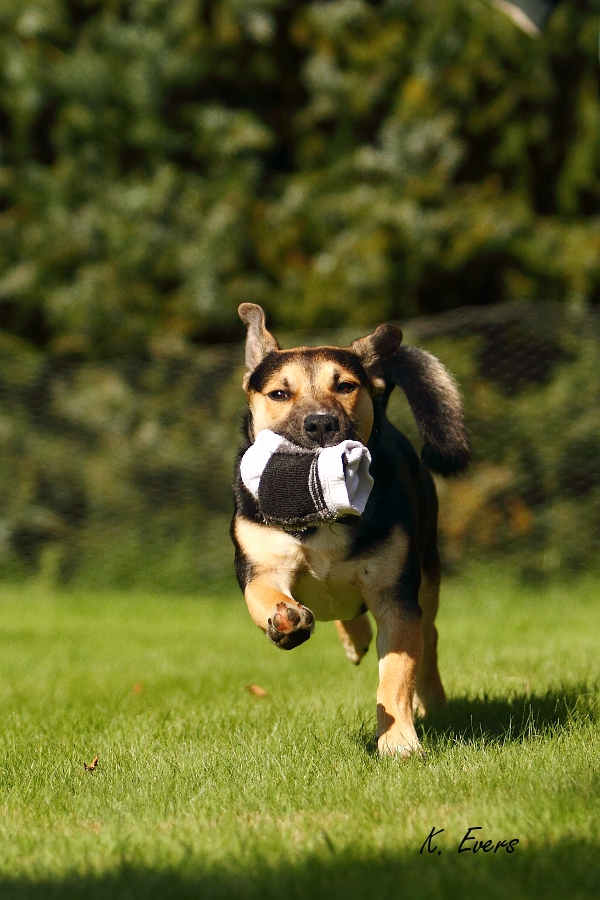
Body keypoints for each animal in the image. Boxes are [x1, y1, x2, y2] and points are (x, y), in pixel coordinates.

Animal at [232, 302, 472, 752]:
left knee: (429, 637)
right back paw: (352, 635)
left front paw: (398, 741)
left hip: (427, 570)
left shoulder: (396, 596)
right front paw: (285, 619)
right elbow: (264, 593)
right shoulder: (261, 562)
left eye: (344, 386)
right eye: (279, 394)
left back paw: (433, 701)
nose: (320, 424)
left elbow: (396, 674)